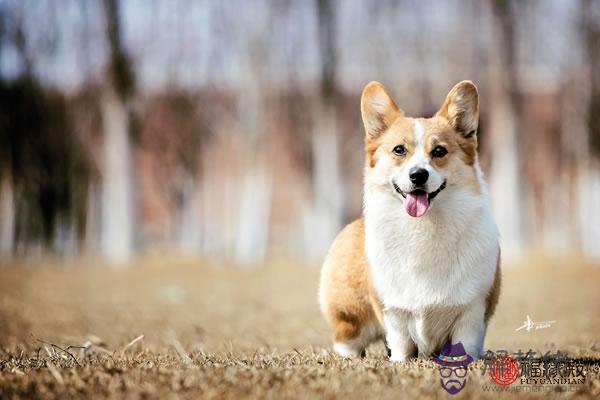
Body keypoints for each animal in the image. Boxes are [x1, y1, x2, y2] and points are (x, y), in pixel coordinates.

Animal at [318, 79, 502, 360]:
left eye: (439, 151)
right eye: (399, 150)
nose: (418, 175)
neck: (423, 228)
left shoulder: (472, 310)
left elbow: (465, 342)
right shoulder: (394, 311)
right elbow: (401, 342)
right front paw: (400, 362)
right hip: (350, 316)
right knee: (347, 341)